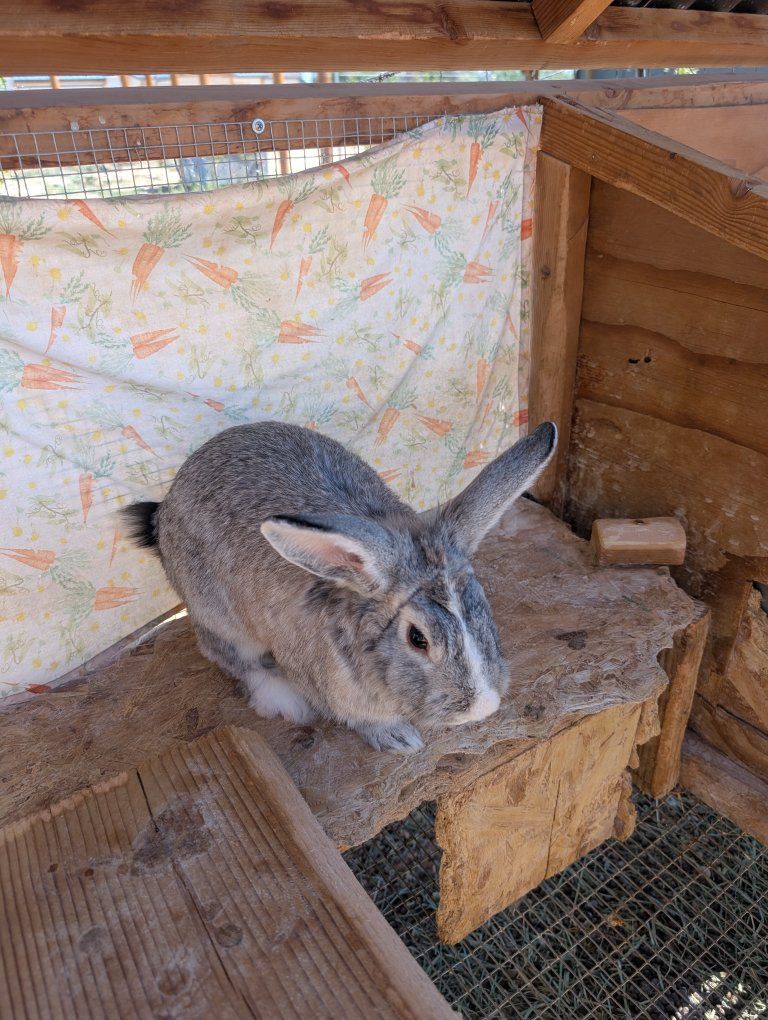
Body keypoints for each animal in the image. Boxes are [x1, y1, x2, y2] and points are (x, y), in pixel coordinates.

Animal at [121, 419, 556, 753]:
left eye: (483, 605)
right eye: (418, 639)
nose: (482, 708)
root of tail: (165, 510)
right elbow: (360, 719)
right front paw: (398, 739)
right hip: (219, 615)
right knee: (227, 655)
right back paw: (281, 698)